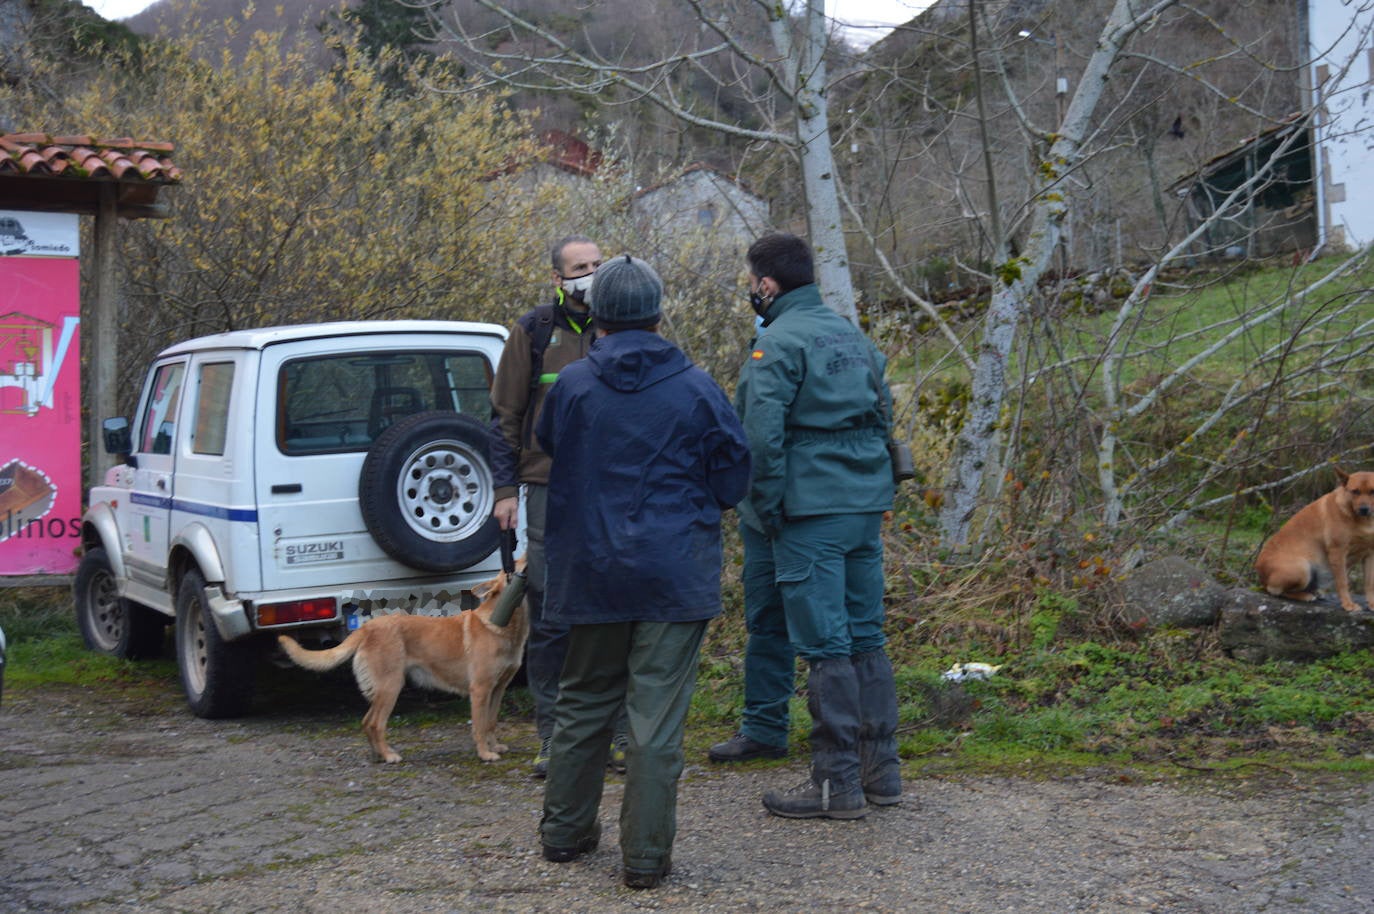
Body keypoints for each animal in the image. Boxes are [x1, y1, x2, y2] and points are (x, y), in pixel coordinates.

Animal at [278, 563, 530, 764]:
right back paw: (389, 756)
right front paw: (485, 754)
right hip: (391, 687)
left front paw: (494, 746)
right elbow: (479, 726)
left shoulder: (498, 689)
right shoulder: (480, 690)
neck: (503, 624)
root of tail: (367, 628)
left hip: (385, 689)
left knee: (367, 723)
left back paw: (379, 754)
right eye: (514, 567)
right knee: (374, 723)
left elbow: (491, 722)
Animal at [1258, 470, 1374, 612]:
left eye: (1372, 492)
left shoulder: (1369, 555)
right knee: (1275, 591)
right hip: (1303, 568)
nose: (1364, 509)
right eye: (1355, 491)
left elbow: (1369, 583)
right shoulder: (1338, 552)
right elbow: (1342, 582)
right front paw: (1348, 604)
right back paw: (1304, 596)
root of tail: (1259, 572)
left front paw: (1371, 604)